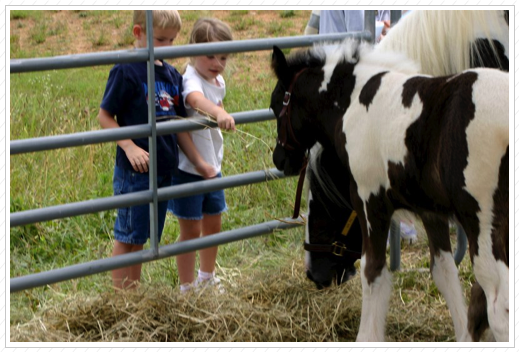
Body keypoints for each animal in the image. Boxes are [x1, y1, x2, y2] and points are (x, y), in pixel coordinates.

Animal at [270, 40, 510, 342]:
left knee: (498, 307)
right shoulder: (430, 211)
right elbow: (444, 272)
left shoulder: (370, 203)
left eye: (275, 105)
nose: (280, 159)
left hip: (484, 225)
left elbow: (373, 273)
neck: (353, 102)